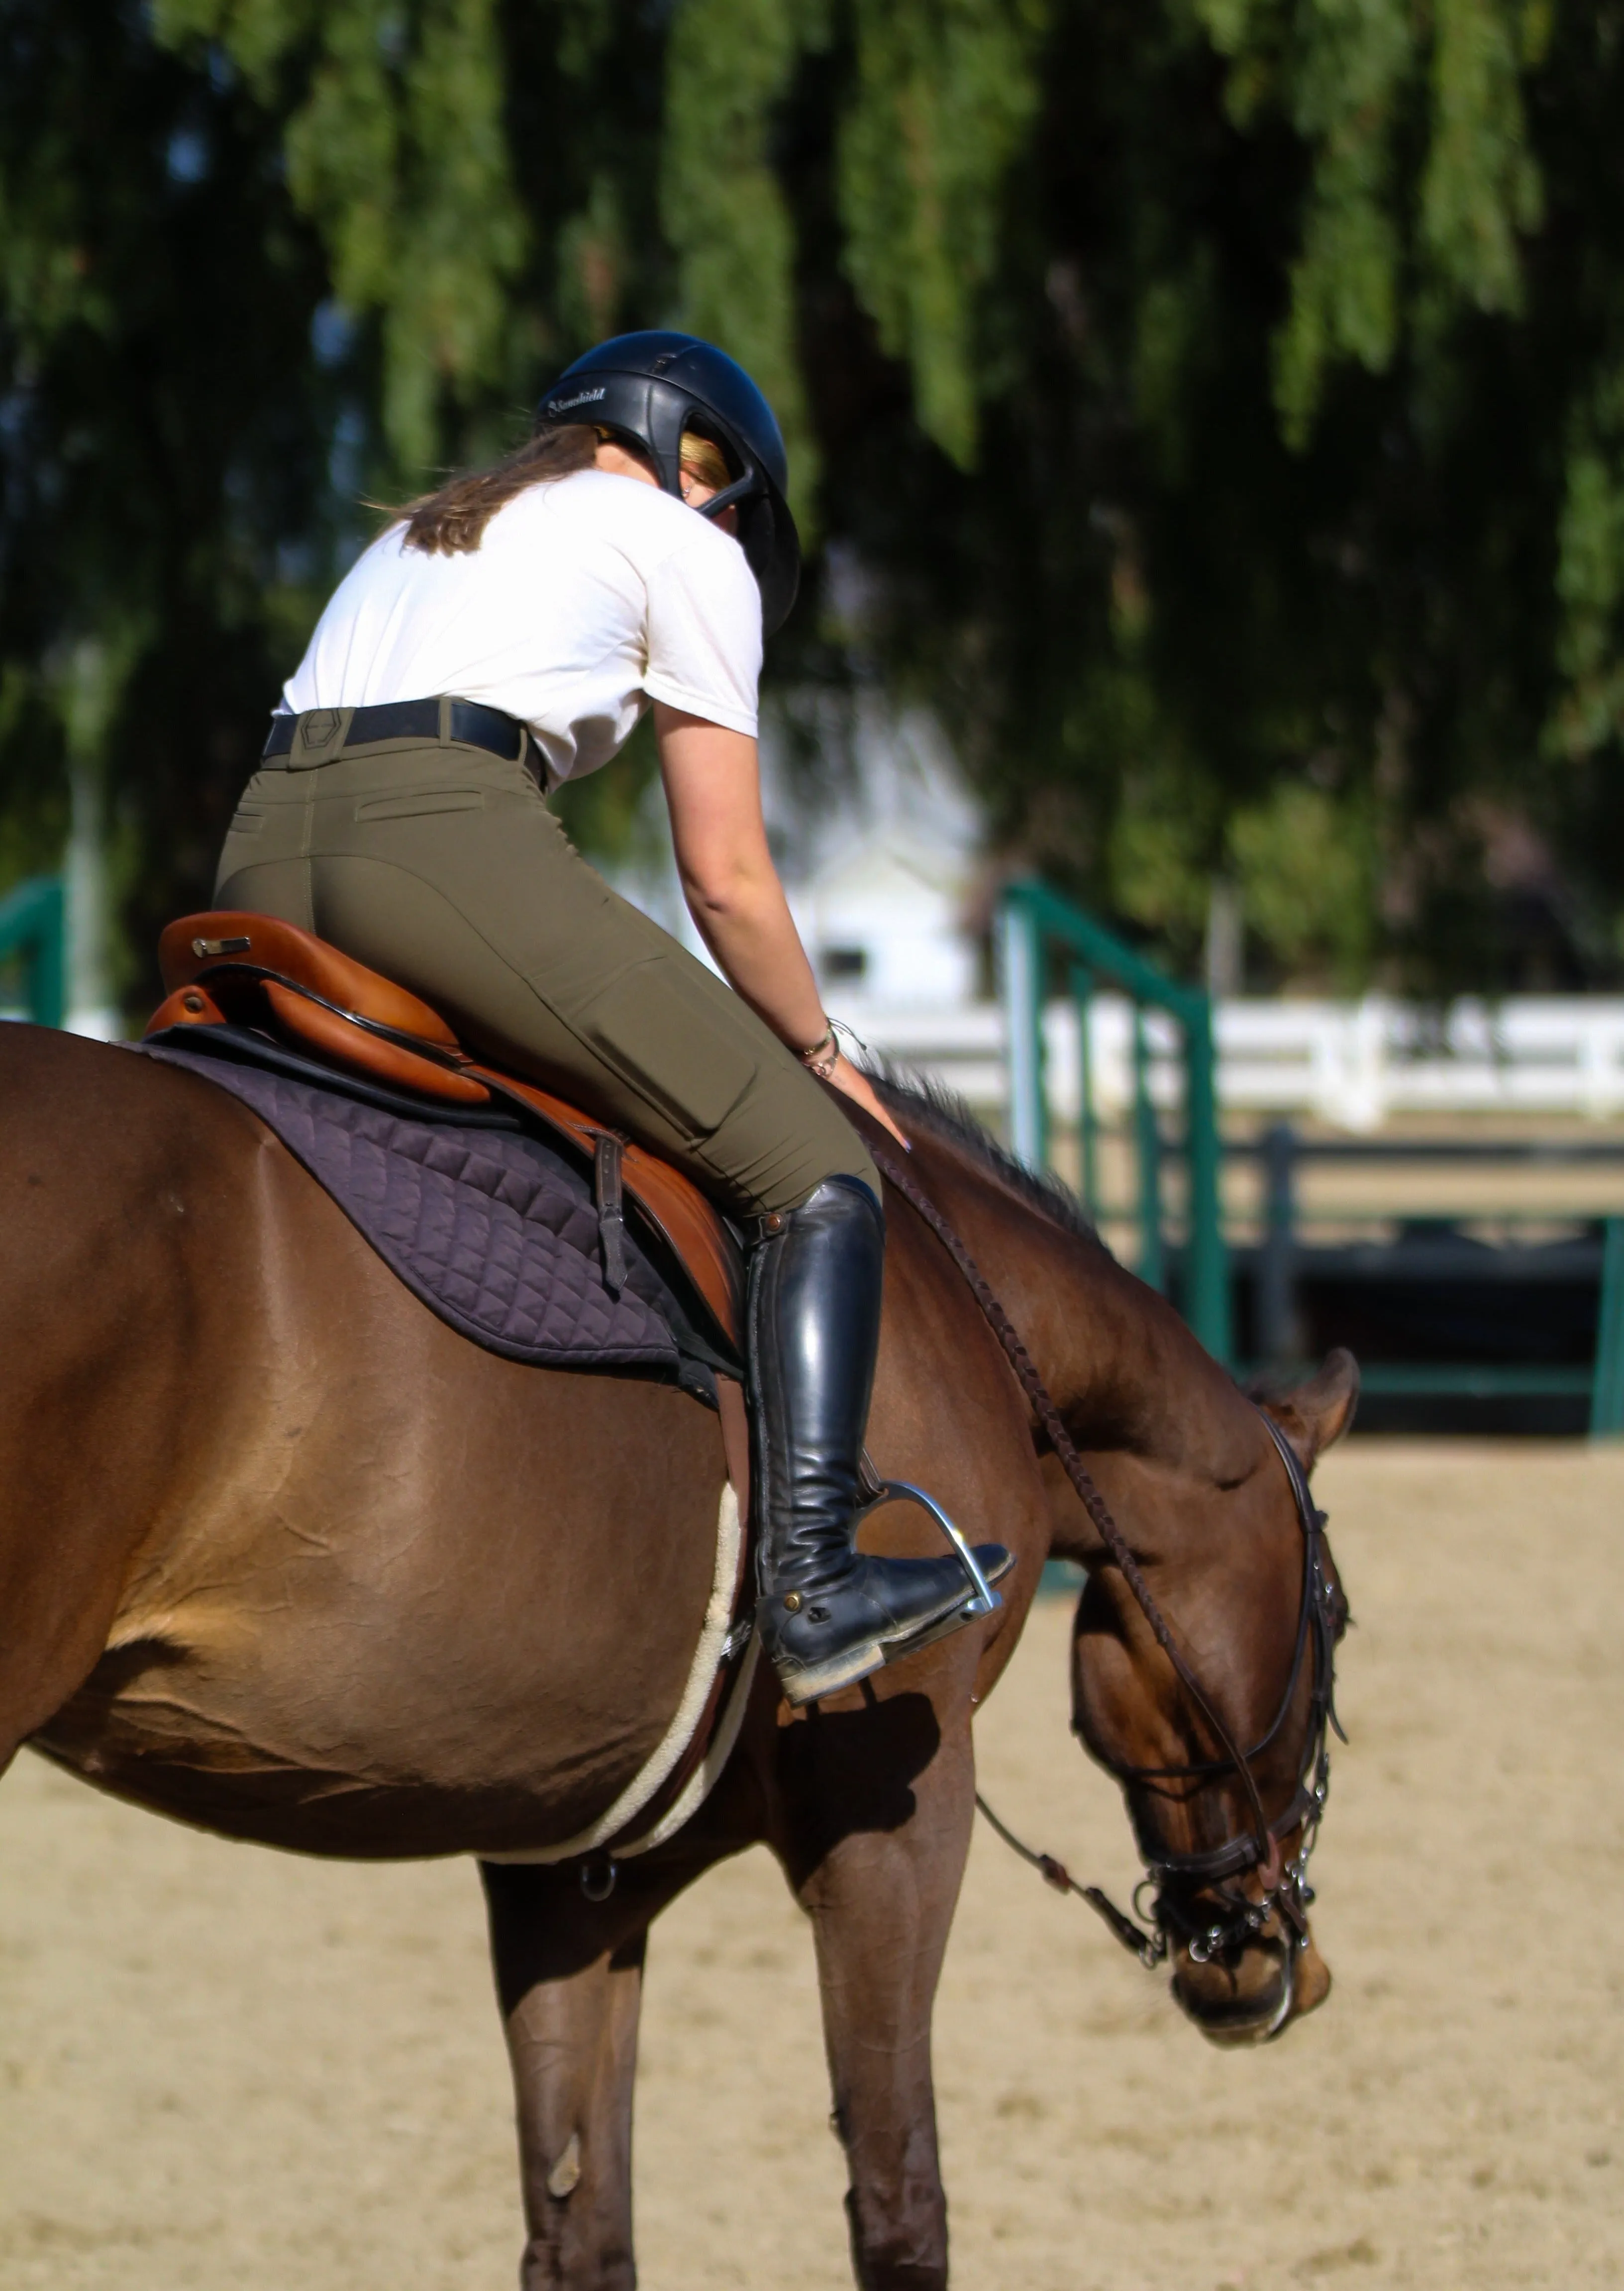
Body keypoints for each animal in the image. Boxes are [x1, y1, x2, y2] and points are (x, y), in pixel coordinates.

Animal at [0, 1031, 1356, 2291]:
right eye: (1336, 1622)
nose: (1274, 1965)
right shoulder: (893, 1828)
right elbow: (899, 2203)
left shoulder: (571, 1865)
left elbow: (582, 2229)